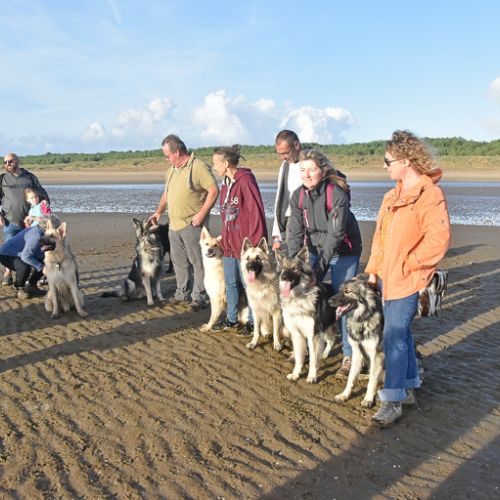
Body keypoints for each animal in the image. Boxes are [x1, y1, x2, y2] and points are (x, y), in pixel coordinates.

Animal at [276, 247, 336, 383]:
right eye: (283, 268)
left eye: (294, 268)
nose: (283, 276)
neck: (298, 298)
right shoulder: (297, 334)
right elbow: (299, 358)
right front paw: (296, 374)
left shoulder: (313, 335)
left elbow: (313, 360)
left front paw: (312, 376)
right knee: (330, 340)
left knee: (332, 340)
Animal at [328, 275, 384, 407]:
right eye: (340, 290)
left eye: (347, 291)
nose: (329, 301)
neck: (362, 320)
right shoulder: (357, 352)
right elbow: (351, 377)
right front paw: (344, 395)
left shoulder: (377, 355)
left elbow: (373, 380)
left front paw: (368, 399)